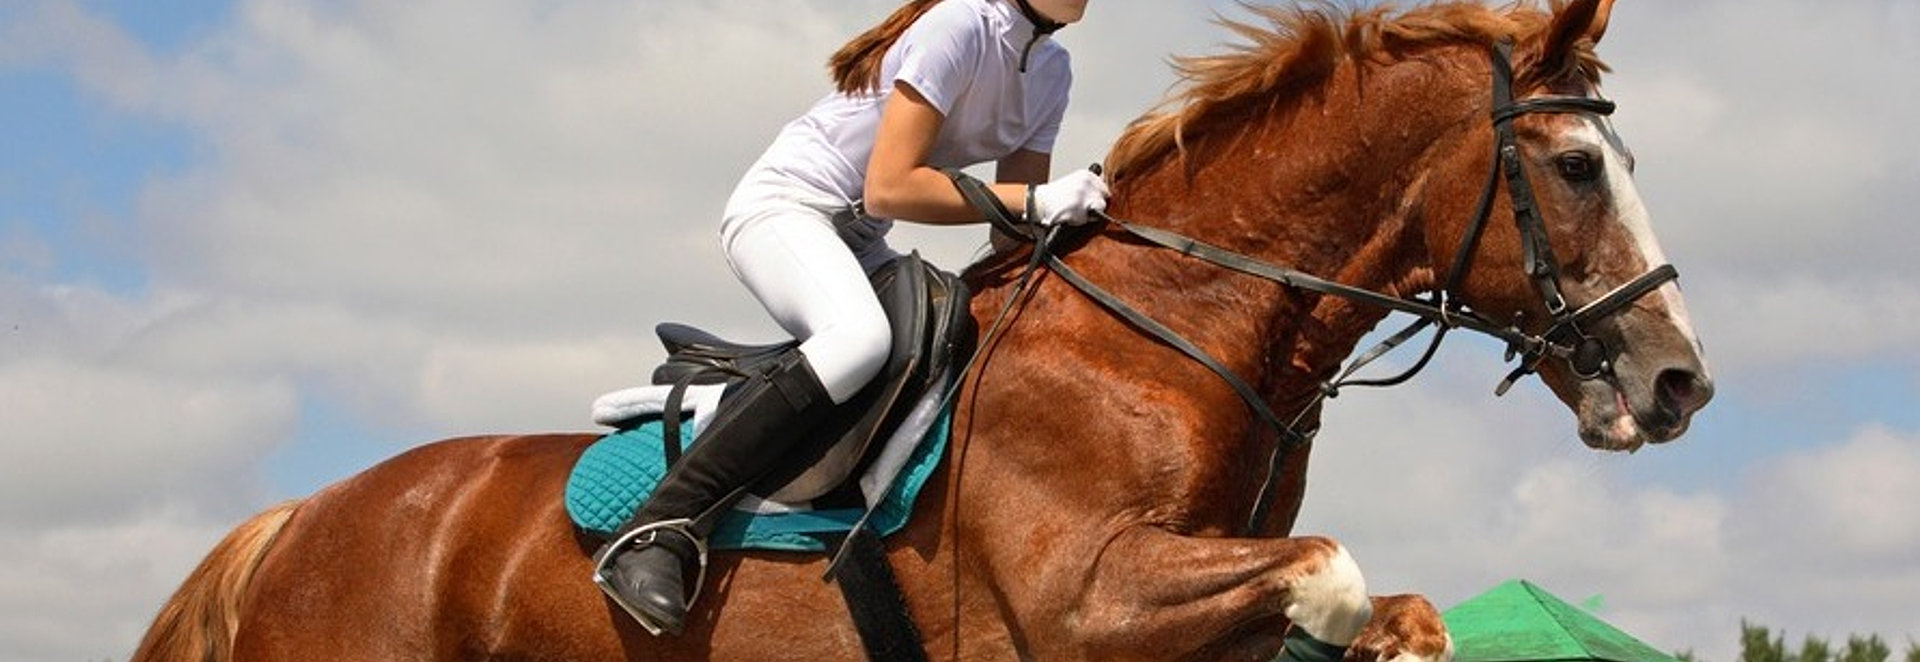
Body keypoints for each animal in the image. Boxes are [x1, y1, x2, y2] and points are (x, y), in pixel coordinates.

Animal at [131, 1, 1712, 660]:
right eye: (1579, 165)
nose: (1681, 380)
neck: (1172, 336)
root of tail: (299, 516)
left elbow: (1393, 605)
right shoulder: (1085, 599)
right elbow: (1330, 569)